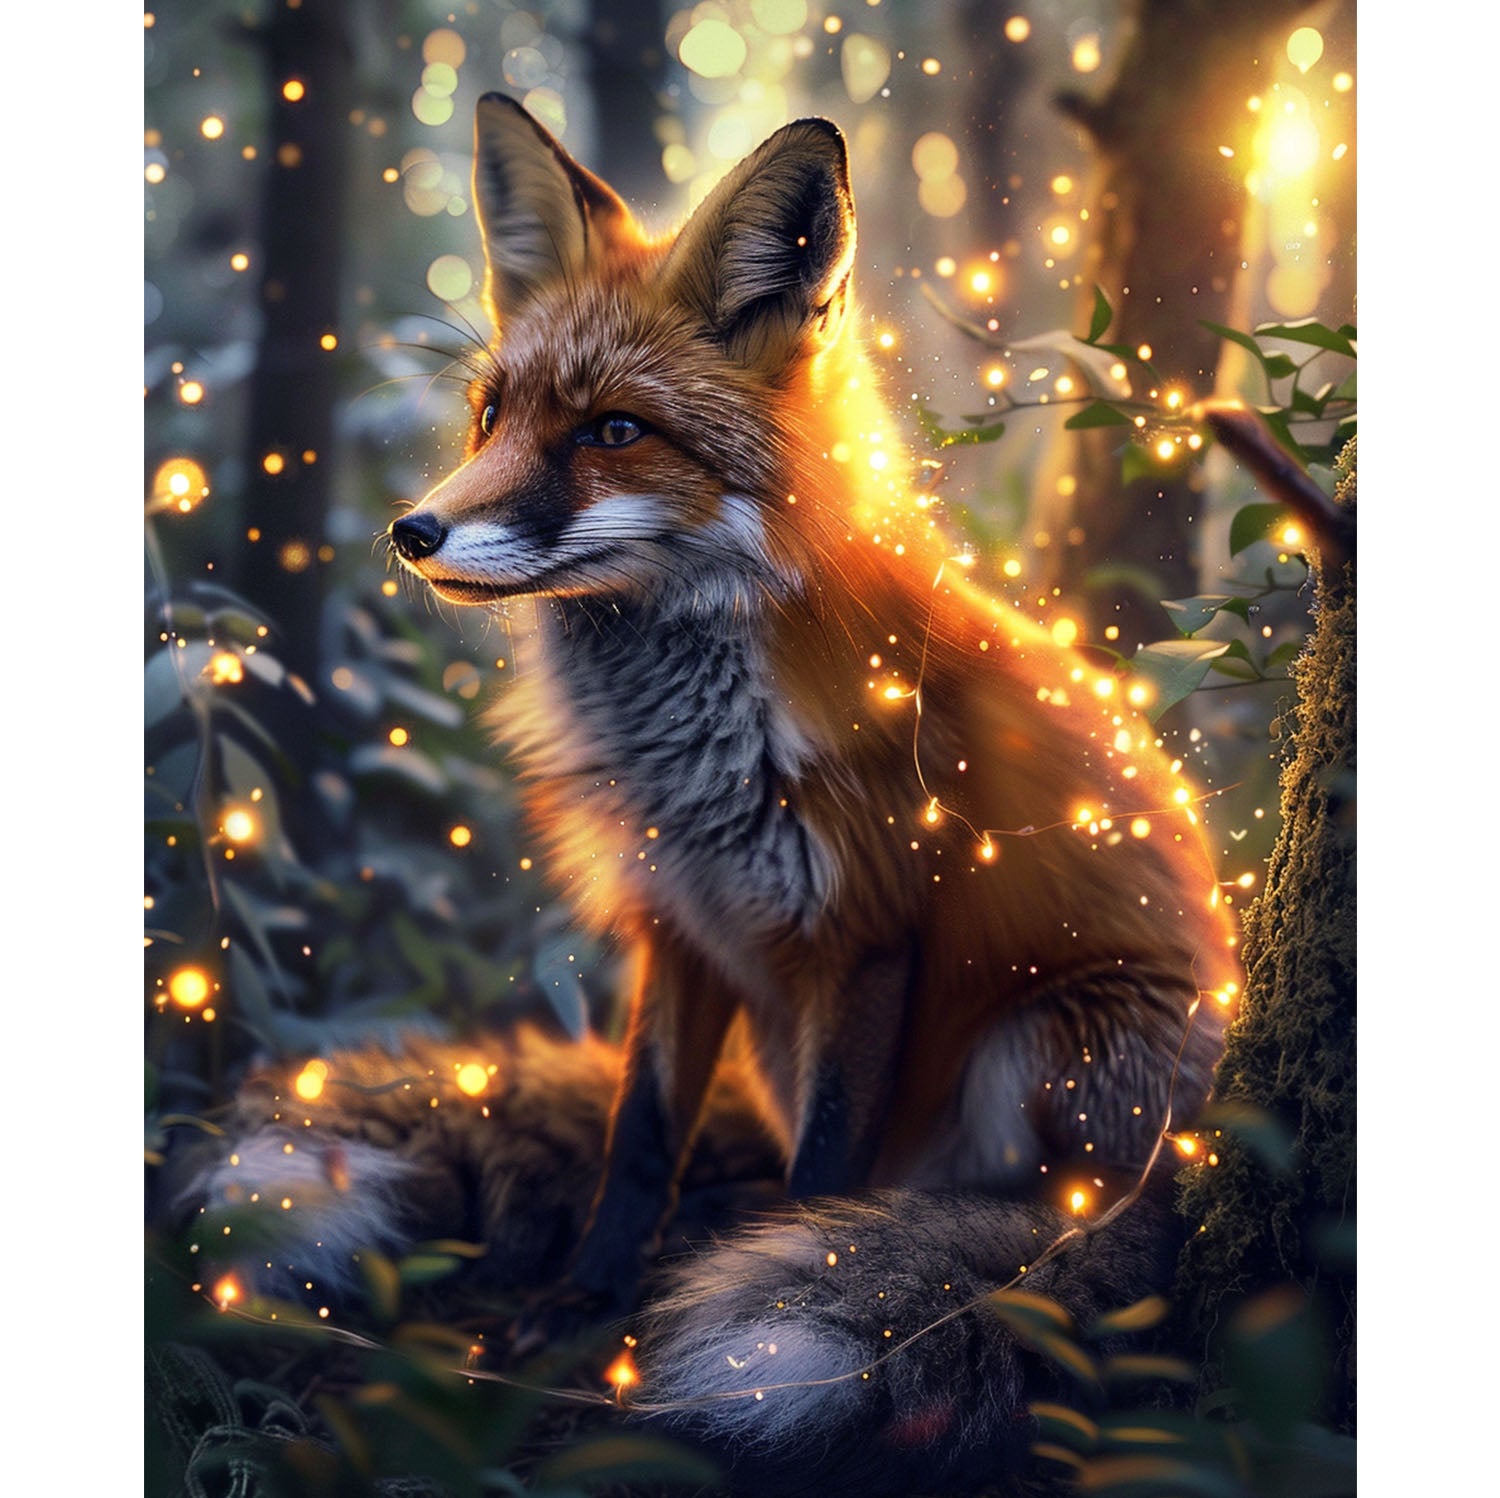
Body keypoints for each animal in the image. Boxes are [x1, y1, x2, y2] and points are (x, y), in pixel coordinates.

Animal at [173, 96, 1241, 1496]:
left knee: (1040, 1221)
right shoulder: (679, 921)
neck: (694, 752)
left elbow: (823, 1175)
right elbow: (640, 1139)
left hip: (1056, 1041)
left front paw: (787, 1283)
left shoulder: (868, 936)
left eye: (614, 430)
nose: (411, 532)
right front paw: (585, 1303)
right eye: (492, 414)